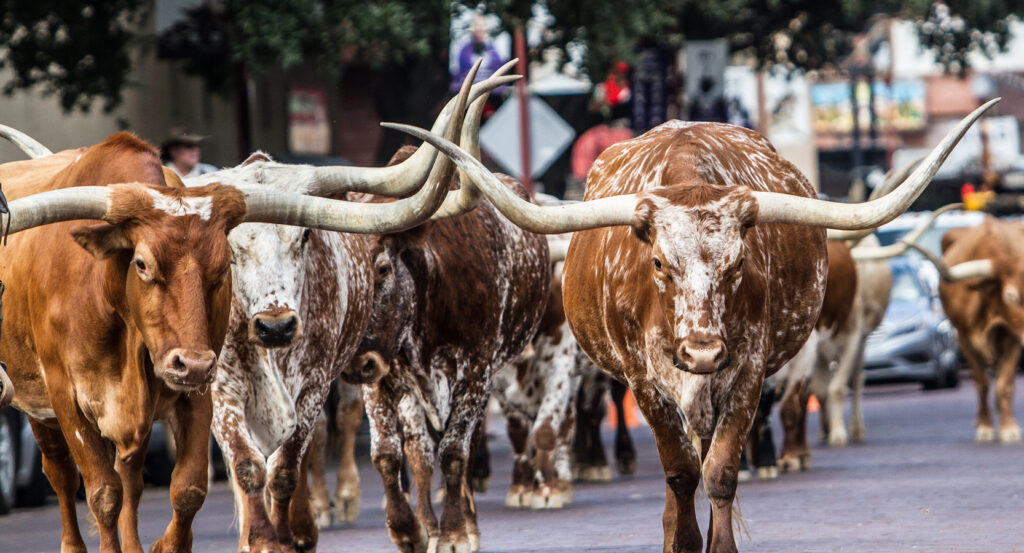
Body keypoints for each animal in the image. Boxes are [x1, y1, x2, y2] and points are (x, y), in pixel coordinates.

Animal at [390, 99, 992, 552]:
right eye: (658, 262)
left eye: (739, 262)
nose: (701, 351)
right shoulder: (643, 380)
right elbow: (679, 470)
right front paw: (679, 541)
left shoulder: (748, 370)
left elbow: (720, 470)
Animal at [905, 216, 1023, 443]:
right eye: (1010, 297)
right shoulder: (963, 339)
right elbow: (982, 382)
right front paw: (985, 427)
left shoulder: (1013, 336)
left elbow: (1005, 383)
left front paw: (1008, 427)